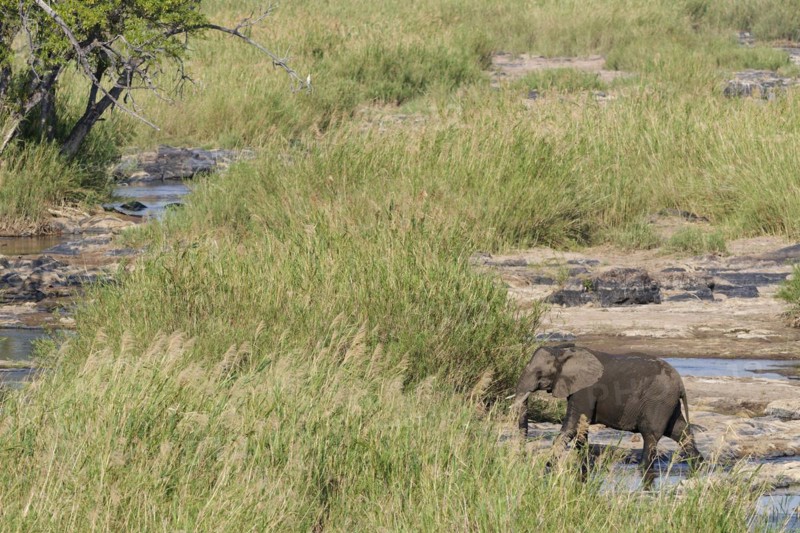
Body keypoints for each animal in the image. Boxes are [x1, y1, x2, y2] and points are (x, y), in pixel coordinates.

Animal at [512, 343, 703, 481]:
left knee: (650, 435)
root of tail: (680, 384)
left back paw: (643, 470)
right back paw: (700, 466)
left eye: (539, 373)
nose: (522, 456)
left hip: (658, 401)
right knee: (680, 432)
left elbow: (572, 426)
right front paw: (584, 469)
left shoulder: (586, 389)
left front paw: (547, 467)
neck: (562, 350)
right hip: (667, 403)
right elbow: (581, 429)